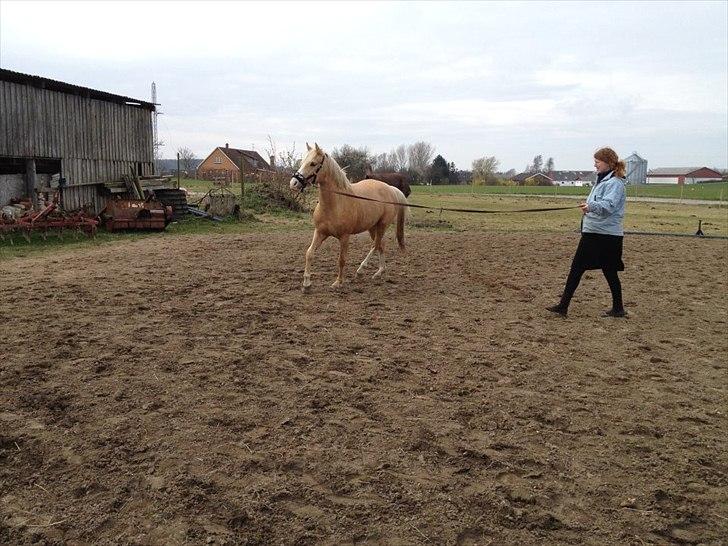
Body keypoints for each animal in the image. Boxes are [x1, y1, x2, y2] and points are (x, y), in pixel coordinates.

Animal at [290, 142, 406, 292]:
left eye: (313, 163)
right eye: (302, 162)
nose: (293, 183)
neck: (335, 203)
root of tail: (390, 189)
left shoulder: (344, 237)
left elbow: (342, 259)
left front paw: (338, 282)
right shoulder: (320, 232)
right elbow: (309, 253)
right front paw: (306, 284)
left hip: (382, 225)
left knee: (375, 245)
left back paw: (361, 270)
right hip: (372, 227)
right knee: (381, 244)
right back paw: (380, 271)